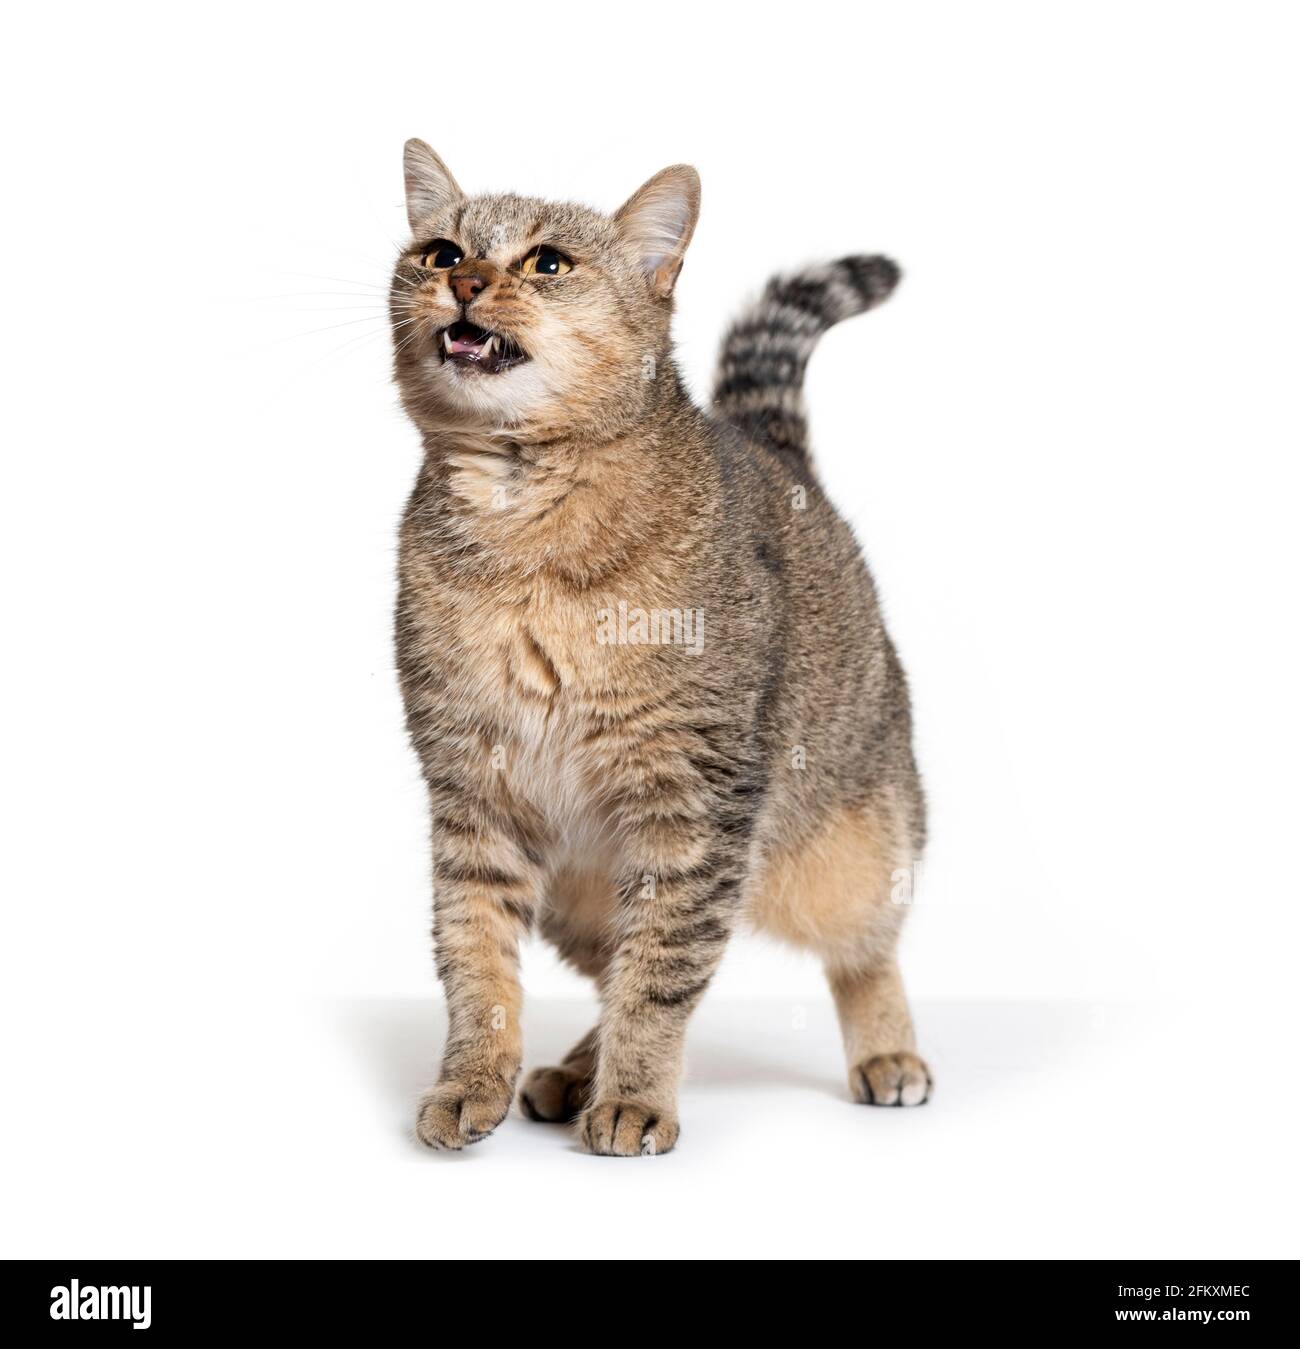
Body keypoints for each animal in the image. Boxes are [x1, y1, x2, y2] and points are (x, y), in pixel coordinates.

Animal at [391, 139, 927, 1160]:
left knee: (865, 947)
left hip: (849, 850)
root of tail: (776, 454)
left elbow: (662, 979)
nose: (466, 282)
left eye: (547, 262)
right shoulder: (471, 788)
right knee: (615, 968)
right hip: (579, 896)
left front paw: (637, 1097)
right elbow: (475, 958)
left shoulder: (695, 800)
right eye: (441, 252)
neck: (520, 509)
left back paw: (887, 1050)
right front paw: (472, 1078)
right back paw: (569, 1071)